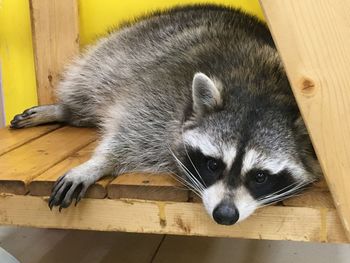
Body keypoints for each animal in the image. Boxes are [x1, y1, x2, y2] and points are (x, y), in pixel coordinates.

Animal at [9, 4, 322, 225]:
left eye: (259, 176)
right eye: (213, 164)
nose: (224, 215)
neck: (260, 91)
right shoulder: (161, 96)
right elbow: (128, 130)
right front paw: (98, 163)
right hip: (124, 48)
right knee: (93, 82)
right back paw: (67, 109)